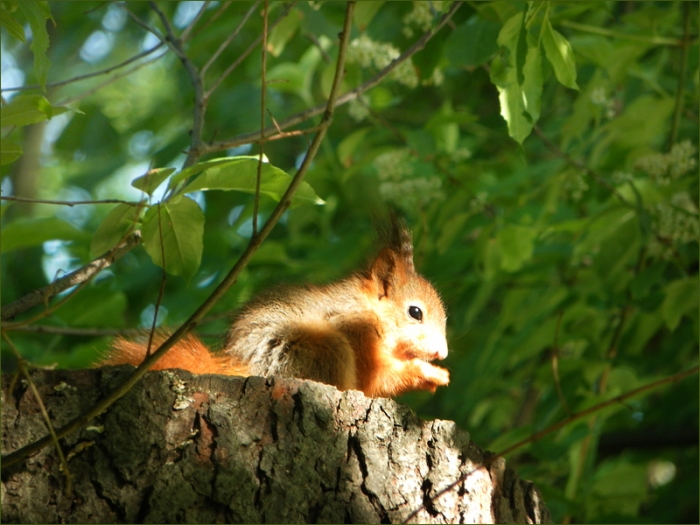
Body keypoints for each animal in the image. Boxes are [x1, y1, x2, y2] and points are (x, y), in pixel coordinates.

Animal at [100, 219, 450, 398]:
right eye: (415, 312)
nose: (442, 353)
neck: (370, 310)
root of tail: (242, 368)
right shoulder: (357, 331)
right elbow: (376, 380)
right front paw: (428, 373)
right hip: (320, 348)